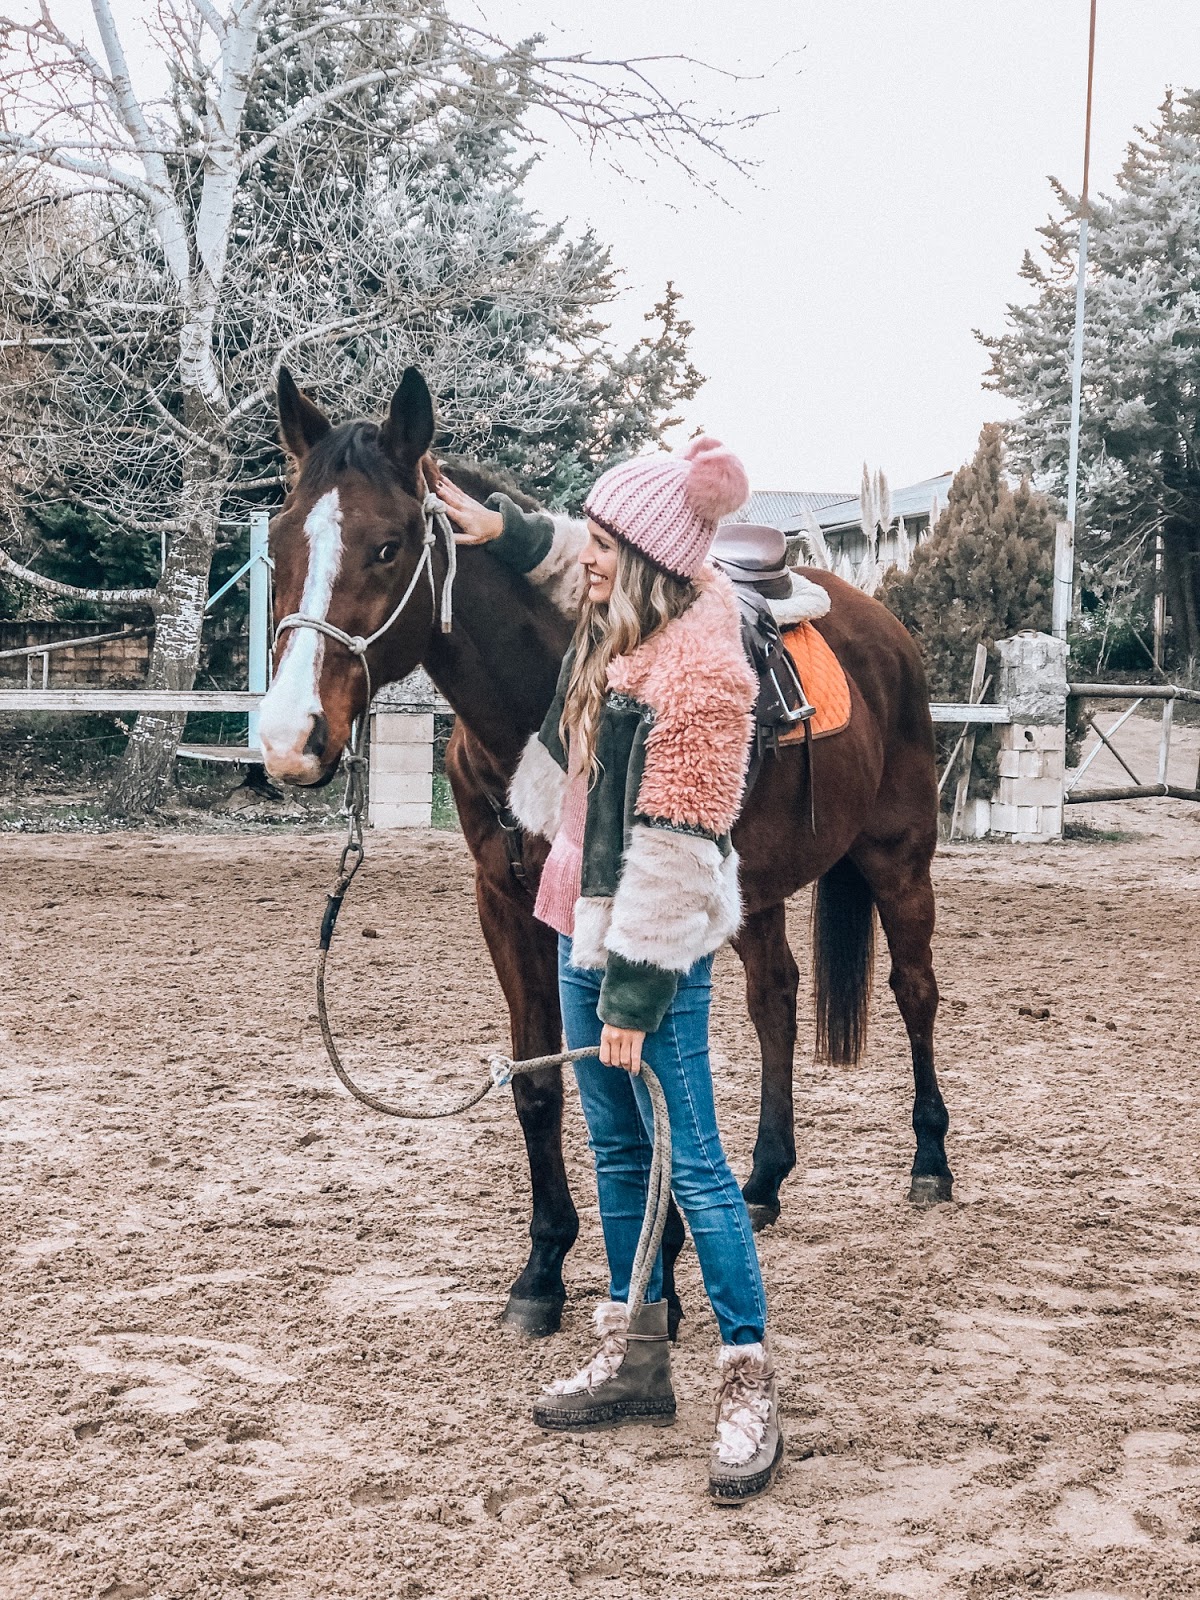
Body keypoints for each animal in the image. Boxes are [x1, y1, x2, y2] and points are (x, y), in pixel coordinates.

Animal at [259, 366, 953, 1337]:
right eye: (281, 543)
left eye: (388, 547)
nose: (289, 740)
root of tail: (882, 626)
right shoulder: (505, 904)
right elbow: (540, 1085)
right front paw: (543, 1269)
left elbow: (646, 1087)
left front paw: (658, 1273)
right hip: (756, 890)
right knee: (776, 999)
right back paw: (764, 1180)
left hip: (899, 857)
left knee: (914, 991)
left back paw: (931, 1162)